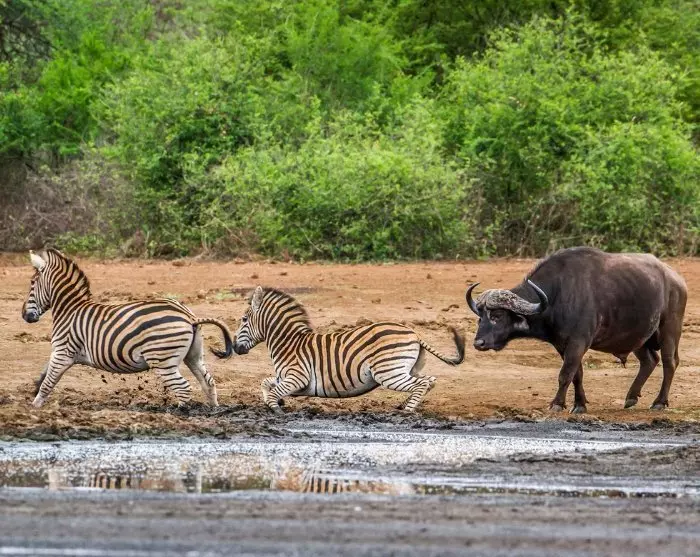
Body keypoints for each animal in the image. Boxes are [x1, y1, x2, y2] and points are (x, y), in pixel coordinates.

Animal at [22, 249, 233, 408]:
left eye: (32, 283)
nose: (25, 315)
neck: (70, 309)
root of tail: (189, 316)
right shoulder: (59, 353)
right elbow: (43, 375)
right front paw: (33, 392)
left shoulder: (63, 352)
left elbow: (48, 383)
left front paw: (34, 408)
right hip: (193, 356)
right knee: (208, 383)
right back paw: (214, 410)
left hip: (162, 360)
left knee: (183, 389)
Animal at [232, 286, 465, 413]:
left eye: (243, 319)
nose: (234, 347)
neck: (289, 343)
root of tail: (415, 334)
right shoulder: (287, 378)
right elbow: (265, 383)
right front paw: (276, 400)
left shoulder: (298, 378)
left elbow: (272, 393)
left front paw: (276, 408)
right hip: (406, 369)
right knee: (429, 381)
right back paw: (403, 407)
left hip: (388, 372)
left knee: (423, 384)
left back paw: (406, 412)